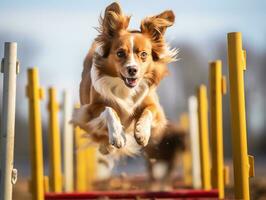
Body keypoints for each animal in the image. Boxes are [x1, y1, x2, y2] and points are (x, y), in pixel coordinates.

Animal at [71, 1, 178, 156]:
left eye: (144, 54)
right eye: (120, 53)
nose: (132, 70)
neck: (125, 87)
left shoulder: (154, 105)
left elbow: (149, 110)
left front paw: (142, 132)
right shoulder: (90, 109)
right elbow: (109, 109)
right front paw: (117, 135)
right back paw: (107, 146)